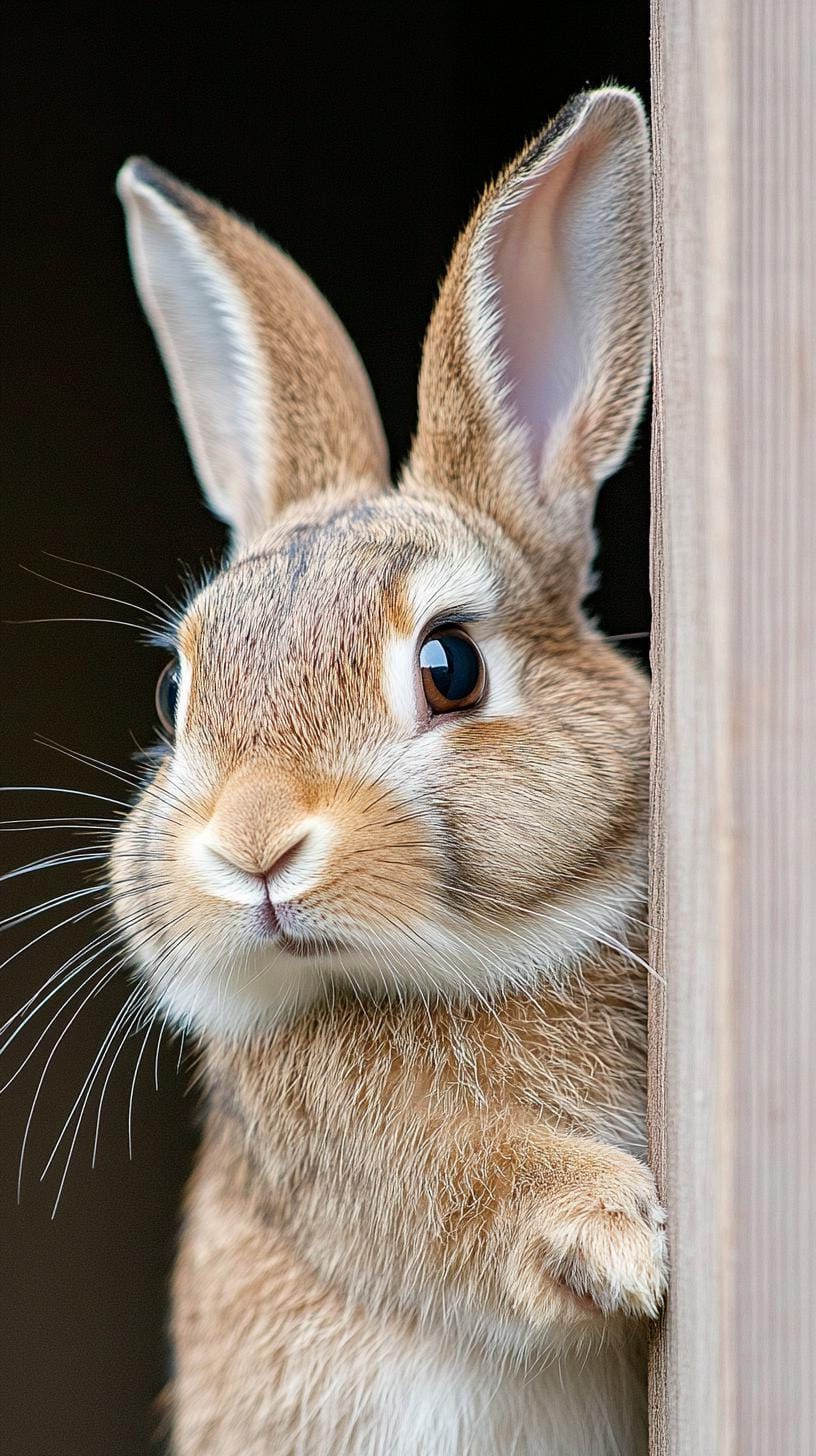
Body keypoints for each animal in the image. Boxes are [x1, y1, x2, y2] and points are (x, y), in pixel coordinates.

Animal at [112, 85, 666, 1456]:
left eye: (451, 666)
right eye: (177, 693)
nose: (254, 845)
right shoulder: (353, 1165)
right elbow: (477, 1185)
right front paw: (617, 1237)